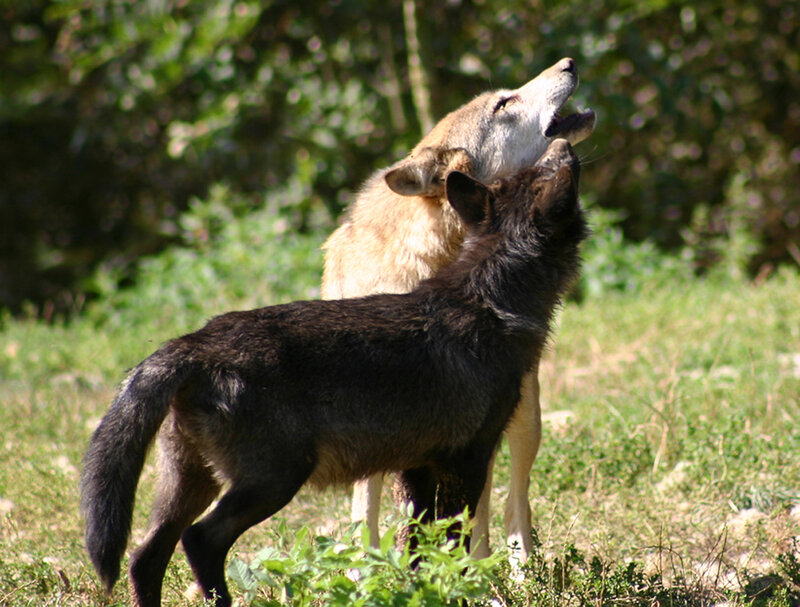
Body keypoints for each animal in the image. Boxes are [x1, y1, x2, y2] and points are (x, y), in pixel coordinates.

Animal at [81, 139, 588, 607]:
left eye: (530, 170)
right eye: (547, 168)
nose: (564, 143)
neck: (490, 301)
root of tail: (191, 343)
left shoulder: (418, 468)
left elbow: (418, 552)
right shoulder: (467, 460)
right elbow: (454, 550)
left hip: (190, 486)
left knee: (145, 557)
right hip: (273, 481)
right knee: (200, 541)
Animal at [322, 57, 595, 560]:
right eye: (503, 104)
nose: (568, 62)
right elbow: (364, 511)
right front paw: (367, 566)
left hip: (524, 415)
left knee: (512, 502)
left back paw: (515, 565)